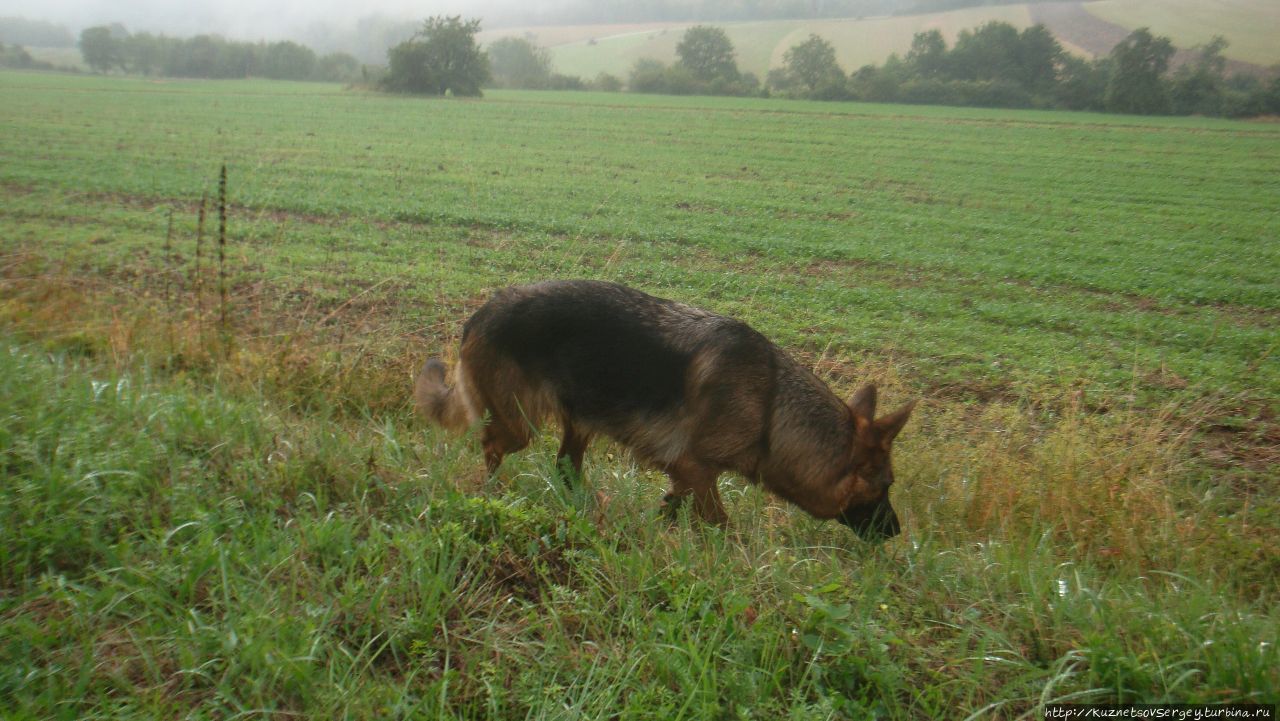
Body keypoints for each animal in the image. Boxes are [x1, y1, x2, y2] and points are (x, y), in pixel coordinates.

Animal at [414, 279, 916, 537]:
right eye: (885, 486)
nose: (896, 533)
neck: (772, 410)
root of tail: (480, 313)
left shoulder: (686, 476)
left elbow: (673, 507)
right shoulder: (695, 468)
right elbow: (723, 524)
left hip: (582, 419)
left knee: (565, 466)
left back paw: (585, 505)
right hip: (522, 423)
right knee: (490, 444)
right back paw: (490, 494)